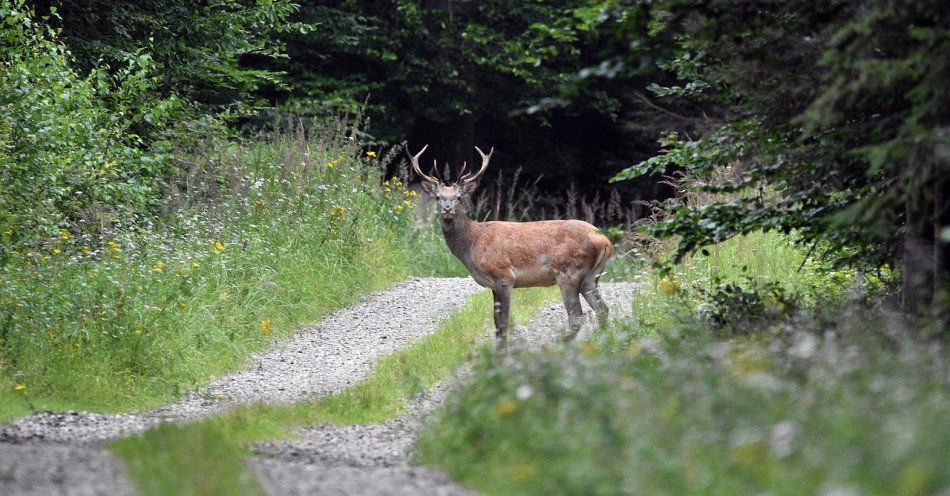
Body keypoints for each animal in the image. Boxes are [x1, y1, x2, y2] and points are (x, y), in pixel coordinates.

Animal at [410, 144, 616, 348]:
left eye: (460, 197)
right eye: (438, 197)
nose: (447, 209)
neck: (474, 243)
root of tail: (606, 241)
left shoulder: (504, 276)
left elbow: (503, 322)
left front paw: (502, 351)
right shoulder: (493, 284)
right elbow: (496, 321)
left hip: (570, 272)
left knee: (577, 316)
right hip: (590, 277)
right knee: (603, 309)